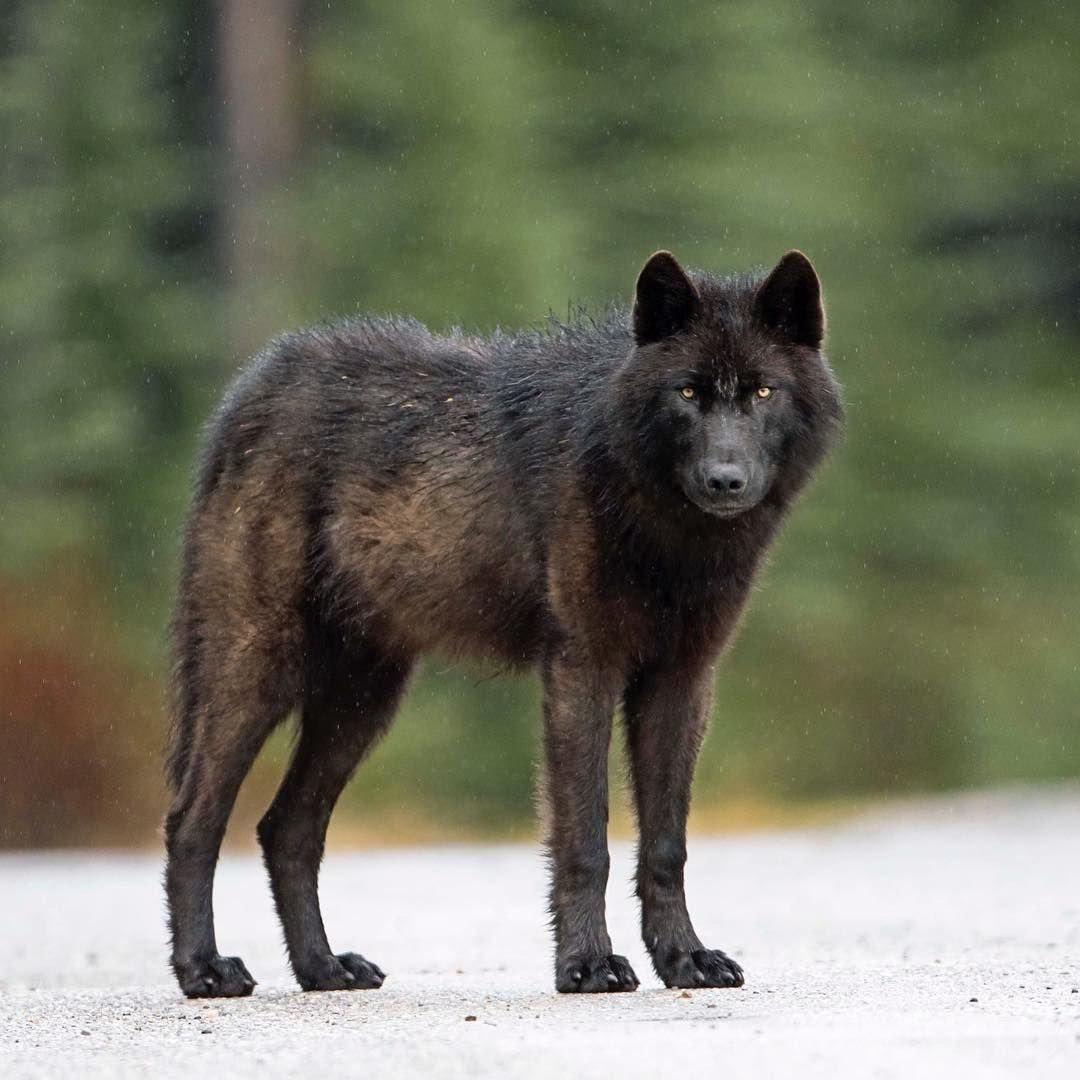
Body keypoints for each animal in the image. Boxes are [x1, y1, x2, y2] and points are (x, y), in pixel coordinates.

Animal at [164, 249, 842, 998]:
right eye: (688, 393)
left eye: (763, 392)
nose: (725, 479)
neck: (663, 531)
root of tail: (248, 390)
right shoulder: (581, 669)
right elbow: (585, 841)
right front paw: (587, 965)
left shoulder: (683, 679)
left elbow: (667, 845)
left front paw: (684, 959)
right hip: (255, 673)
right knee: (192, 821)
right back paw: (204, 969)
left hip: (361, 704)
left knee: (286, 829)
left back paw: (324, 968)